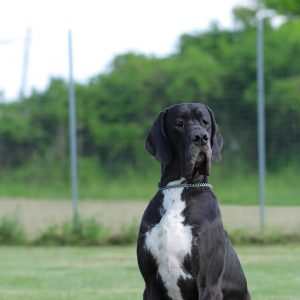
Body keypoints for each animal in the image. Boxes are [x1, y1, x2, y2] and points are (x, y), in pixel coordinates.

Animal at [137, 103, 250, 300]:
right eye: (179, 124)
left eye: (205, 122)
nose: (201, 137)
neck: (179, 187)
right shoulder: (150, 285)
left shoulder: (208, 283)